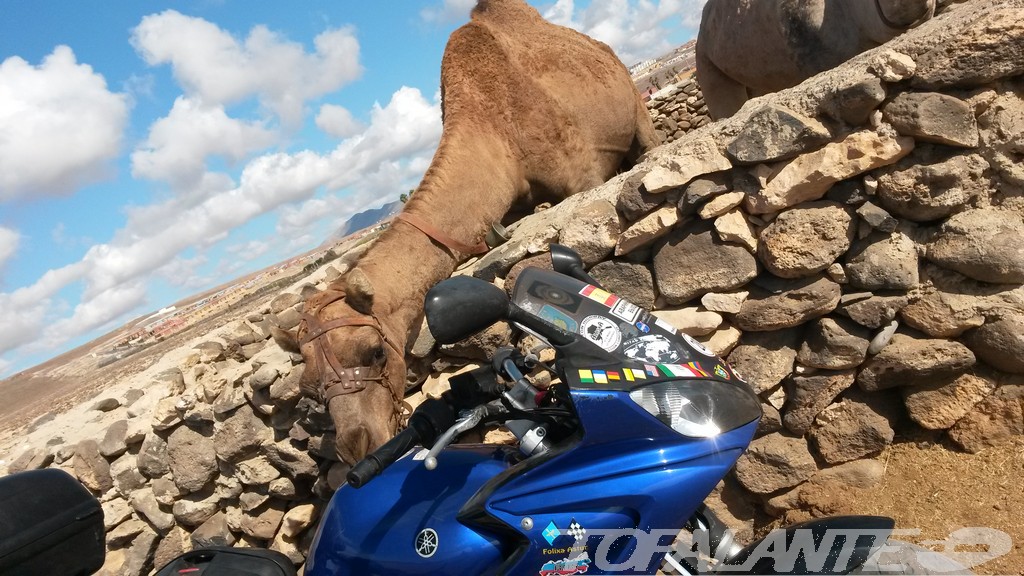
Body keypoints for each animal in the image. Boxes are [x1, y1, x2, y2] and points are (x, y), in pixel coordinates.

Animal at [272, 0, 655, 461]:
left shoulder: (583, 173)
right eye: (311, 390)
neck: (496, 138)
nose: (358, 446)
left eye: (376, 352)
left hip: (634, 107)